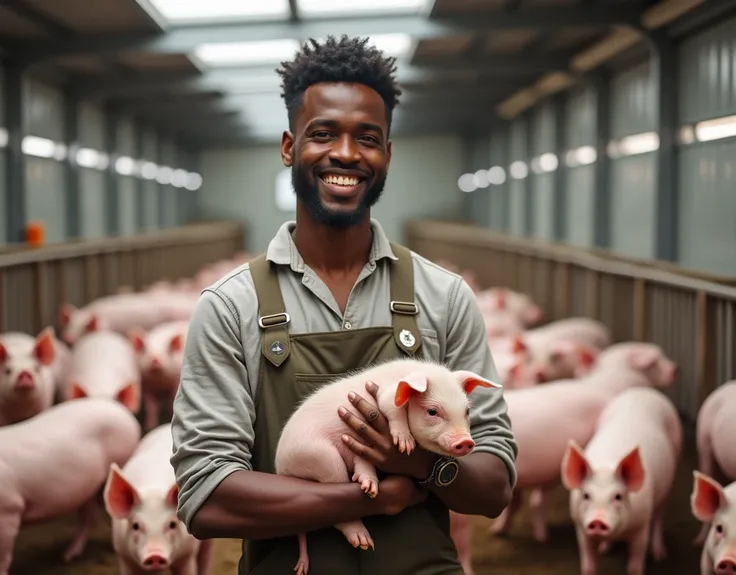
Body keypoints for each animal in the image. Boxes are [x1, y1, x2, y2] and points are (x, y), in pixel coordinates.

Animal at [0, 398, 141, 572]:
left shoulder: (10, 509)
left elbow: (4, 556)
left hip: (122, 460)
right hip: (88, 488)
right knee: (90, 517)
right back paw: (68, 556)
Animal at [103, 424, 213, 575]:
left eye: (172, 524)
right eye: (135, 526)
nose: (155, 555)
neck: (153, 488)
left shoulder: (187, 554)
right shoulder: (124, 556)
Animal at [274, 358, 500, 572]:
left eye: (467, 411)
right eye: (432, 412)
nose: (466, 442)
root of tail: (281, 468)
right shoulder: (385, 395)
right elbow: (393, 410)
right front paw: (405, 445)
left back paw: (369, 487)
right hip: (321, 456)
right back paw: (364, 542)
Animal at [560, 388, 680, 575]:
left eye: (618, 496)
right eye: (586, 495)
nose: (597, 521)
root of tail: (643, 390)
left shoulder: (641, 525)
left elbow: (635, 564)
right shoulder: (581, 527)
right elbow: (589, 565)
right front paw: (599, 553)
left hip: (671, 471)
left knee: (659, 515)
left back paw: (659, 555)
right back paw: (604, 548)